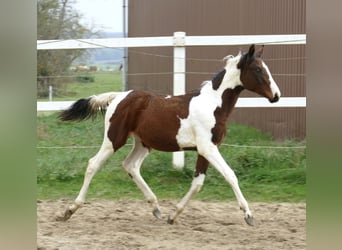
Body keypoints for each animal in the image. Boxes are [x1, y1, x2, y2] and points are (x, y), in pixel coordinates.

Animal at [56, 45, 280, 227]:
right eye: (258, 69)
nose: (276, 96)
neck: (213, 105)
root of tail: (118, 96)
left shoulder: (205, 150)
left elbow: (197, 184)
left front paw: (173, 216)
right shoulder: (208, 148)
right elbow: (230, 175)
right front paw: (248, 215)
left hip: (143, 143)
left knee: (130, 165)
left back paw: (156, 208)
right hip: (114, 139)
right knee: (93, 164)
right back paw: (69, 210)